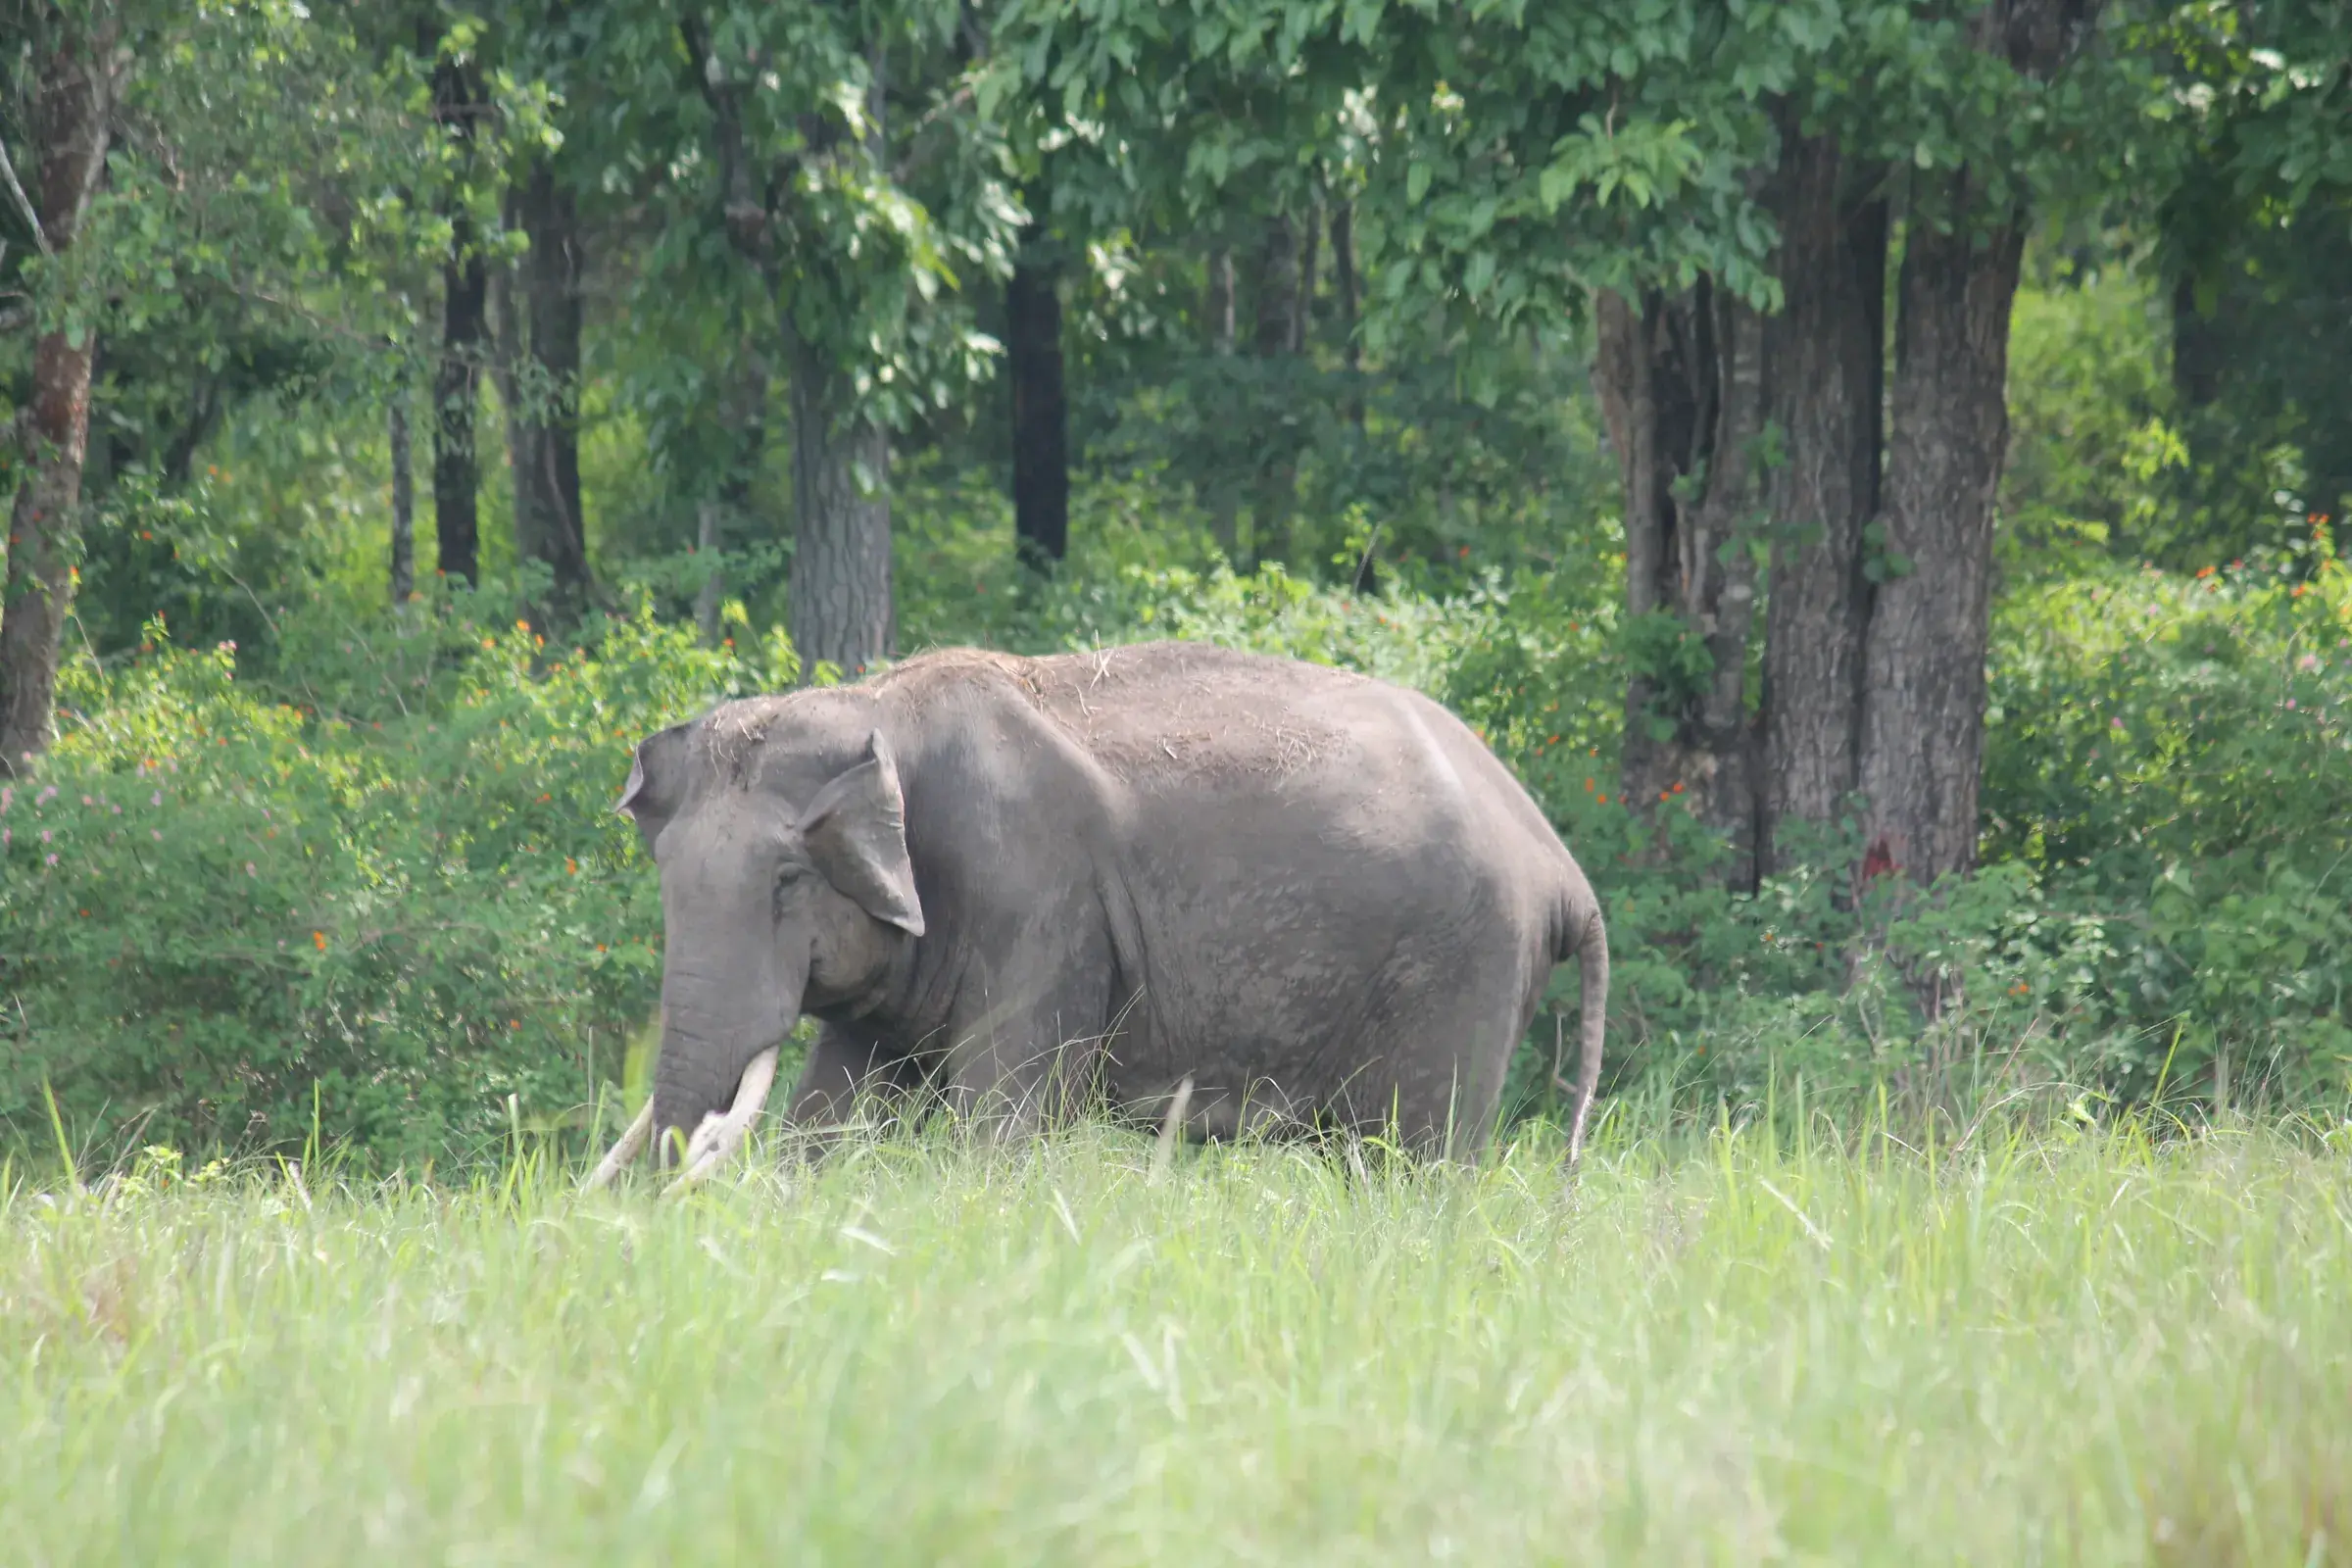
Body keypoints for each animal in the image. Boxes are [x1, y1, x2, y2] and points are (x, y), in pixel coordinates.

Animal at [585, 640, 1608, 1191]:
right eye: (665, 875)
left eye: (788, 881)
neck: (871, 709)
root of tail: (1563, 868)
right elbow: (833, 1109)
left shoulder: (1035, 897)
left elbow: (1000, 1119)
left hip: (1462, 970)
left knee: (1420, 1159)